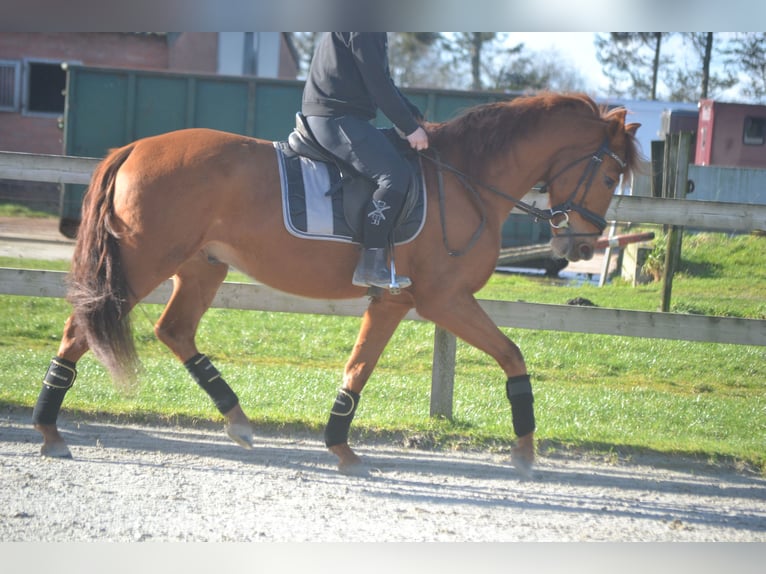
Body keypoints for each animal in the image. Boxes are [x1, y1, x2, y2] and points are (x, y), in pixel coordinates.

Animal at [31, 93, 640, 476]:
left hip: (203, 266)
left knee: (174, 331)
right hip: (142, 265)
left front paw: (340, 446)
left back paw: (238, 420)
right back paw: (49, 430)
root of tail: (135, 147)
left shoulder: (394, 299)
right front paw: (526, 452)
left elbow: (358, 368)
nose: (582, 246)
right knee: (80, 332)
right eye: (611, 174)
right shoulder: (443, 299)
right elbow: (512, 355)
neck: (465, 180)